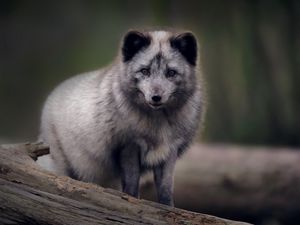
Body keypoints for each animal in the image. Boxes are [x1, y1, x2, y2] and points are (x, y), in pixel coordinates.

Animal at [38, 29, 205, 206]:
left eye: (171, 73)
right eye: (145, 71)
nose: (156, 97)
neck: (157, 124)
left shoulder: (170, 151)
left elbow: (166, 187)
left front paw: (168, 208)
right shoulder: (128, 146)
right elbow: (131, 183)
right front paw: (130, 201)